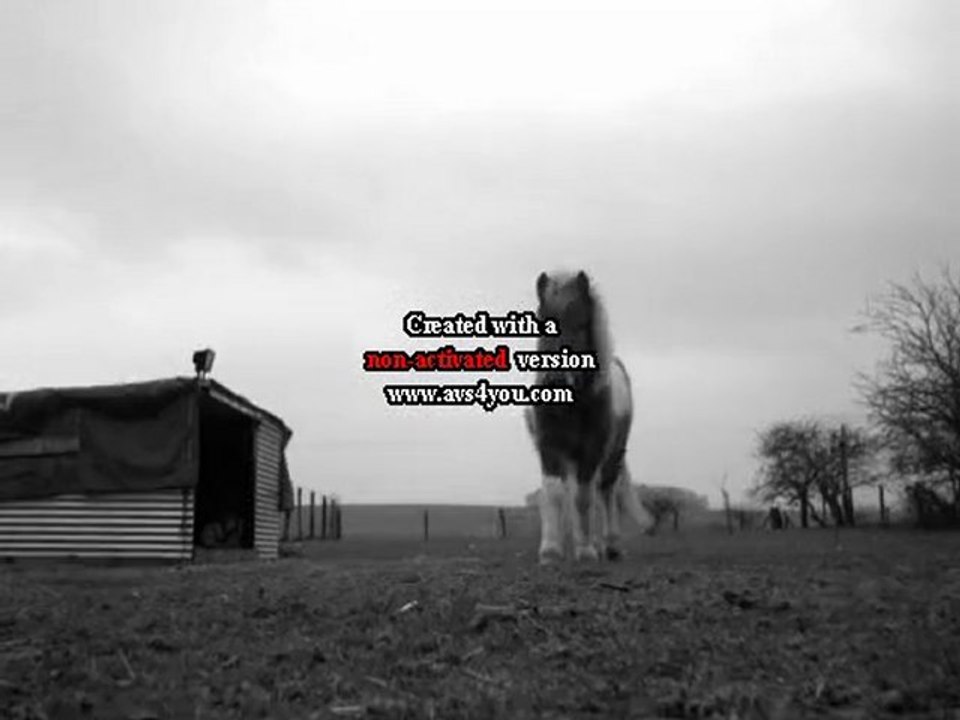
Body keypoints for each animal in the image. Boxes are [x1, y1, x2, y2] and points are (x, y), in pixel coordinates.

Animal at [524, 269, 651, 565]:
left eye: (580, 324)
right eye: (541, 323)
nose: (555, 381)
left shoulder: (591, 449)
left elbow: (584, 497)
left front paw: (586, 551)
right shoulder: (549, 447)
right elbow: (554, 494)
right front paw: (551, 551)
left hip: (613, 453)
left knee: (605, 491)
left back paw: (609, 545)